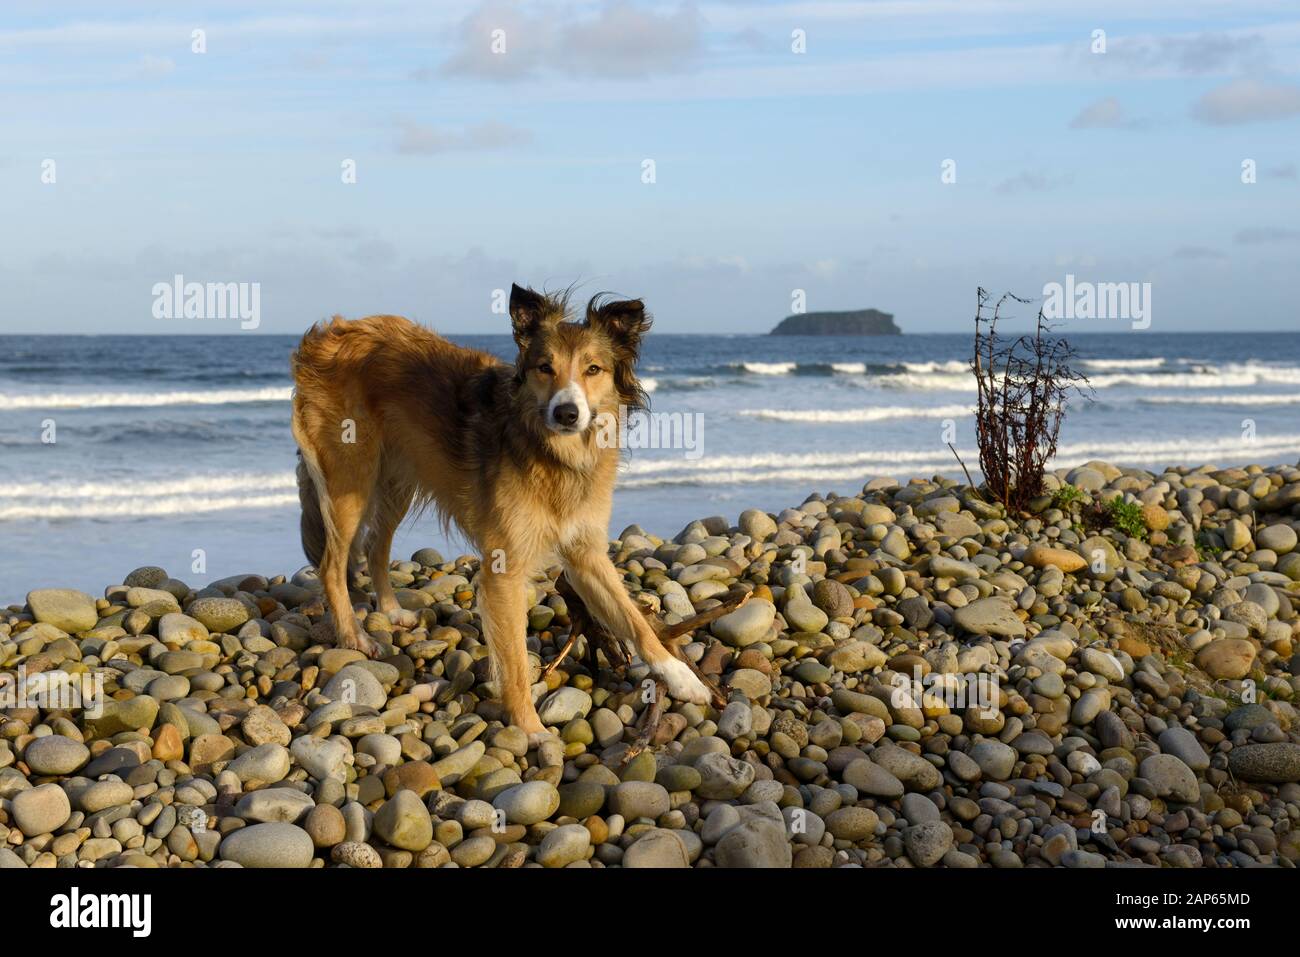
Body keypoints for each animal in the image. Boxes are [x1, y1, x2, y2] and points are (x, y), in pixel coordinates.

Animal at [292, 280, 712, 738]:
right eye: (545, 367)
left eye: (593, 369)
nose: (567, 413)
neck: (553, 453)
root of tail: (327, 333)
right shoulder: (504, 568)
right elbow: (512, 661)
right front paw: (530, 730)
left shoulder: (586, 555)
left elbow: (635, 619)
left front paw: (681, 677)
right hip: (350, 479)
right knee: (332, 565)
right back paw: (354, 638)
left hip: (396, 479)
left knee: (375, 546)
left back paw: (391, 611)